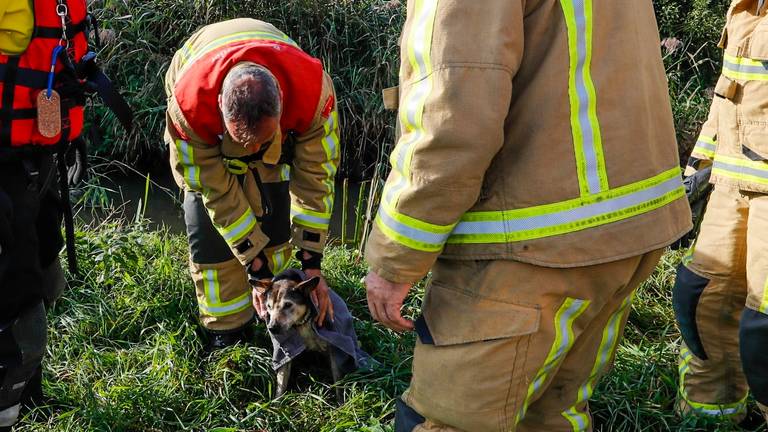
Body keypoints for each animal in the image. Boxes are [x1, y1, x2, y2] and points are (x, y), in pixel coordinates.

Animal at [249, 270, 368, 402]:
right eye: (268, 306)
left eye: (288, 304)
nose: (272, 328)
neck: (303, 324)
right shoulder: (286, 354)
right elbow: (281, 383)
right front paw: (275, 404)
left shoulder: (335, 349)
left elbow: (338, 382)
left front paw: (341, 403)